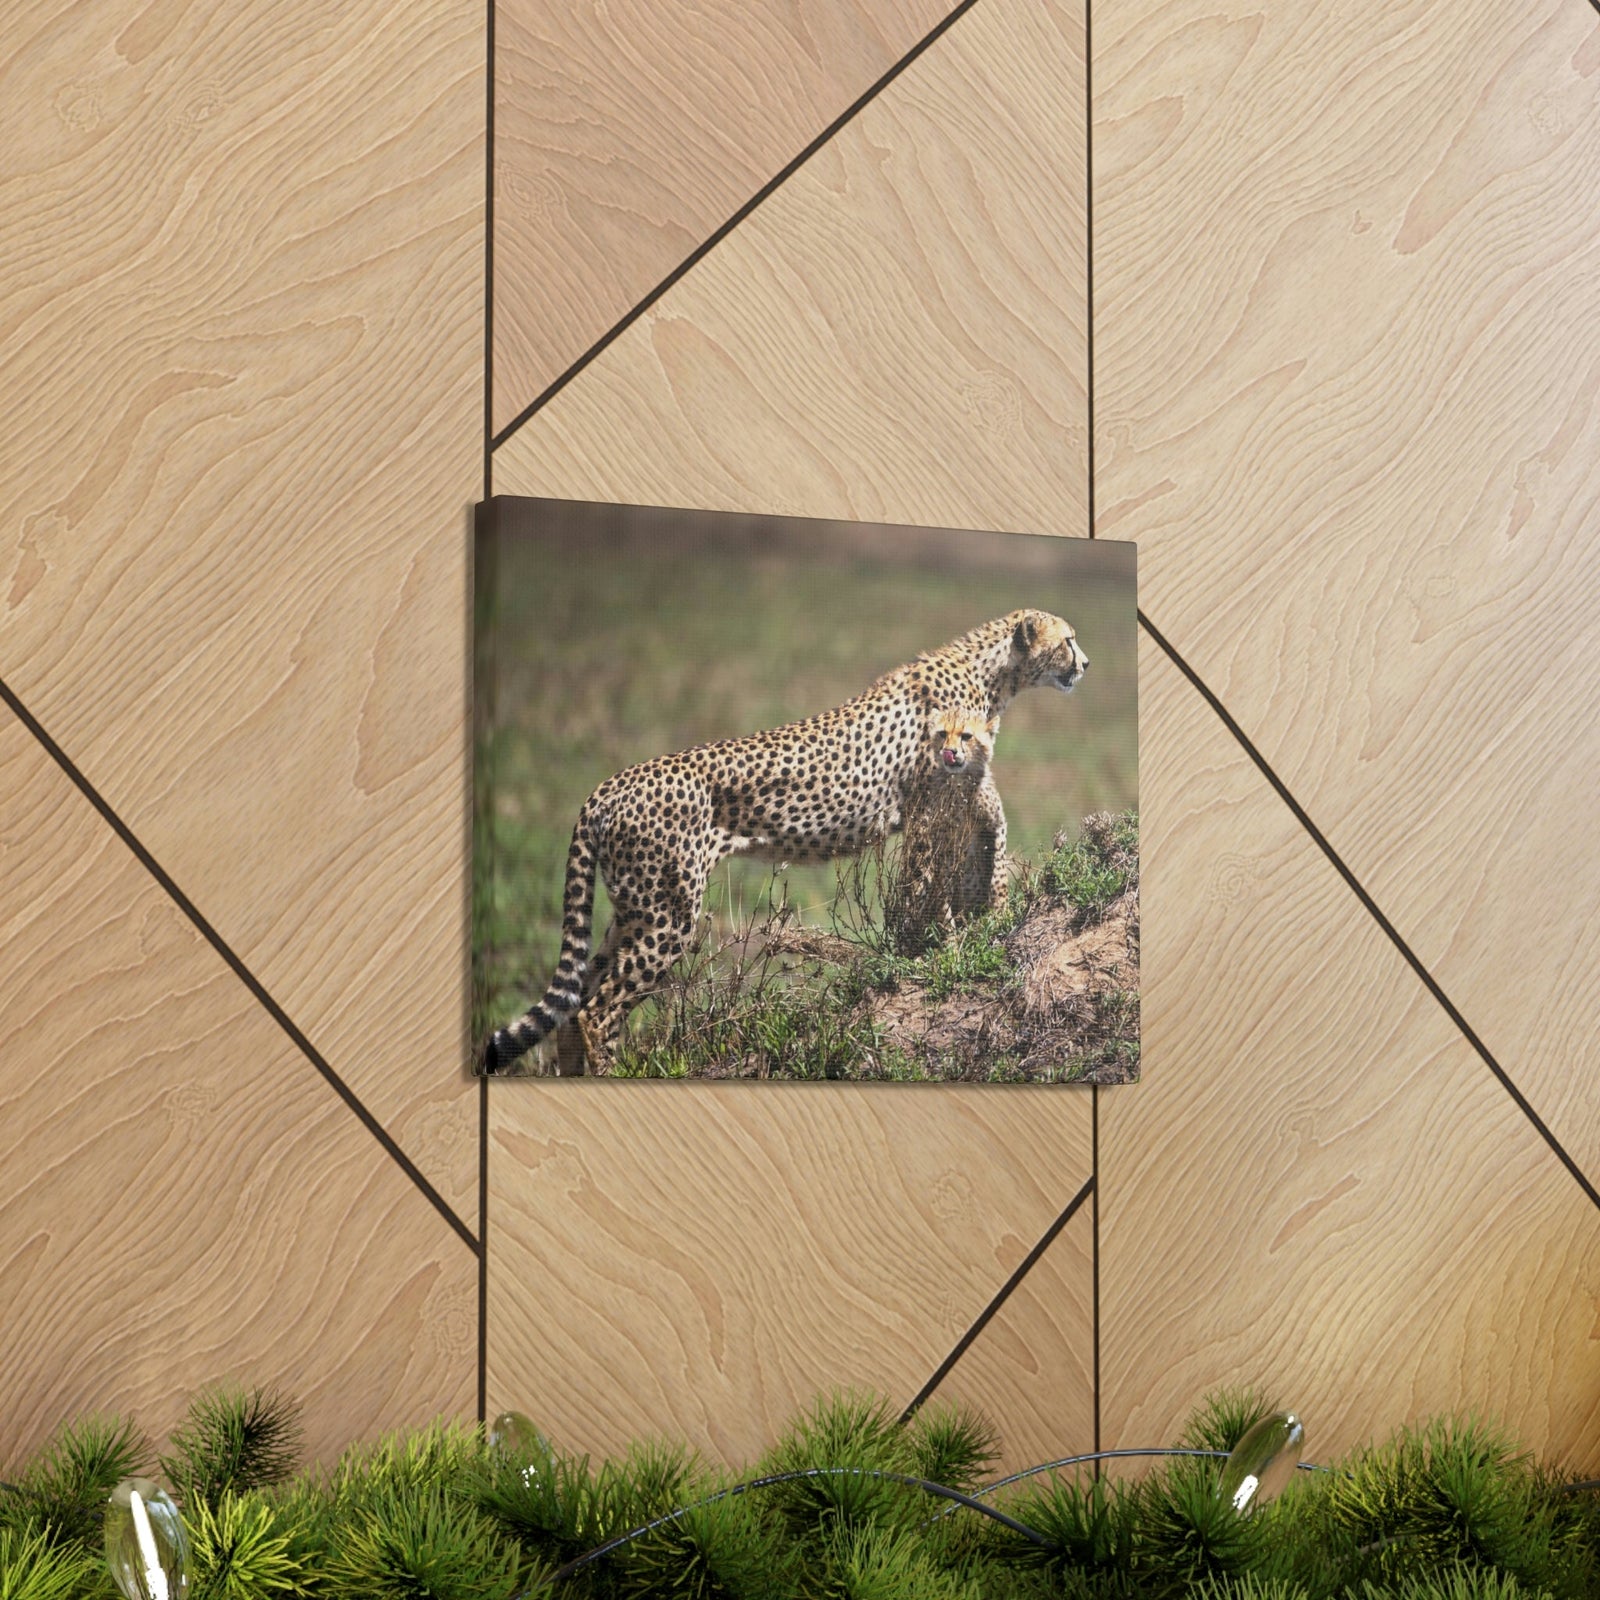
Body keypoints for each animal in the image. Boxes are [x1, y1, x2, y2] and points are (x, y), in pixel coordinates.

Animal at [888, 706, 1006, 956]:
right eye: (942, 734)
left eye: (966, 736)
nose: (949, 751)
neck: (961, 781)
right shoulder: (941, 844)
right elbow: (943, 898)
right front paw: (950, 944)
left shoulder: (996, 825)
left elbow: (999, 871)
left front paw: (1001, 908)